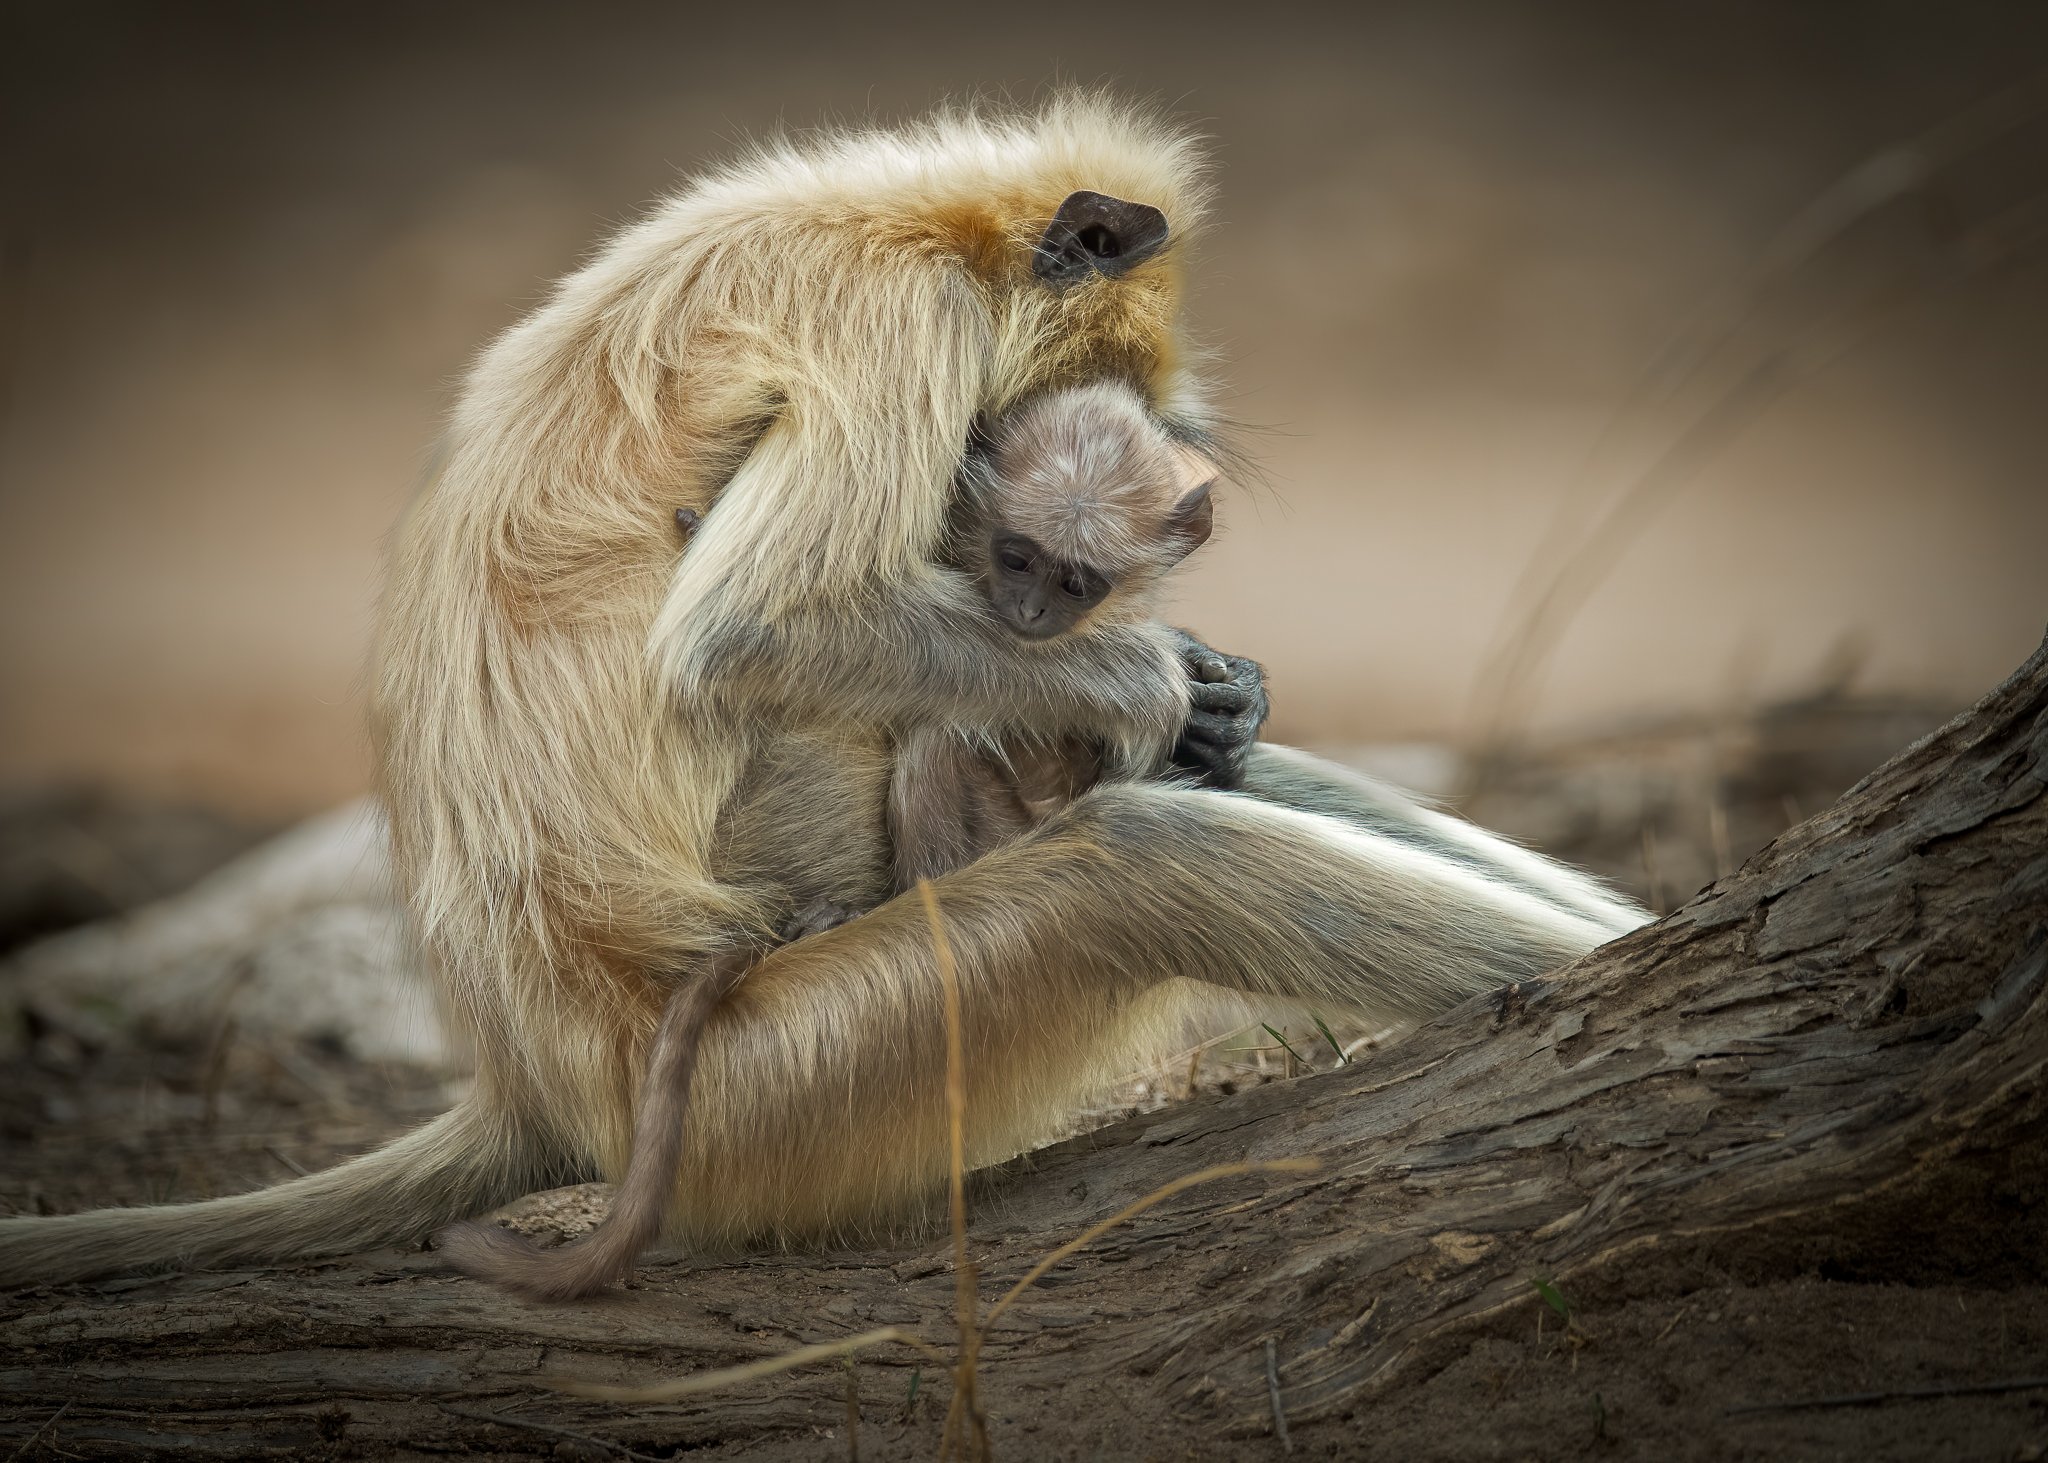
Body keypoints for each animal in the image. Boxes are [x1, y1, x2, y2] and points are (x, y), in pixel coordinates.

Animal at [0, 95, 1649, 1289]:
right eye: (1018, 533)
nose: (1043, 600)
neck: (898, 221)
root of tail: (545, 1077)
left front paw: (1221, 686)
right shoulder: (900, 322)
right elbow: (749, 635)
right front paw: (1152, 672)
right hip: (783, 1073)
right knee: (1138, 851)